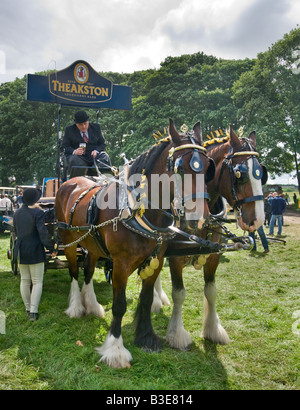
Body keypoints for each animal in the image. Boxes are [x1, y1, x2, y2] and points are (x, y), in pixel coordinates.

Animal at [55, 118, 214, 368]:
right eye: (179, 168)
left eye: (208, 167)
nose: (199, 218)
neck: (137, 211)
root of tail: (70, 181)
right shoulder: (120, 264)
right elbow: (119, 305)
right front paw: (115, 350)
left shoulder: (156, 260)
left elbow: (147, 299)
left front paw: (146, 338)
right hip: (69, 241)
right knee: (73, 271)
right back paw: (76, 307)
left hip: (93, 244)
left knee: (88, 270)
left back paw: (92, 305)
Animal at [154, 126, 268, 350]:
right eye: (240, 174)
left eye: (262, 173)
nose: (258, 220)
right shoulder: (175, 258)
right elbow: (179, 293)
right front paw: (177, 334)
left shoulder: (214, 256)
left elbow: (211, 292)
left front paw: (213, 330)